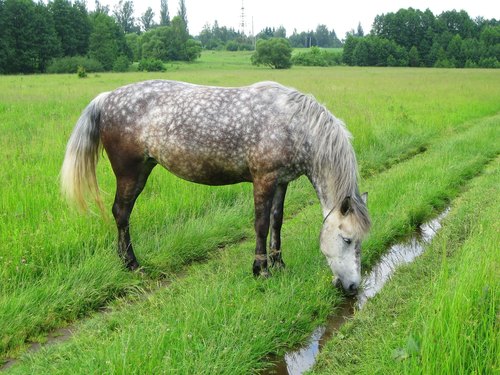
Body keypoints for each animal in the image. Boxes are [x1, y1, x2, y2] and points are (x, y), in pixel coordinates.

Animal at [60, 81, 370, 296]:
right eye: (347, 239)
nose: (353, 286)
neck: (293, 124)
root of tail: (107, 97)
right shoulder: (264, 180)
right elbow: (260, 224)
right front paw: (261, 270)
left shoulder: (282, 182)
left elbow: (276, 222)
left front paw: (279, 264)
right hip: (130, 172)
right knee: (121, 213)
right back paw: (131, 264)